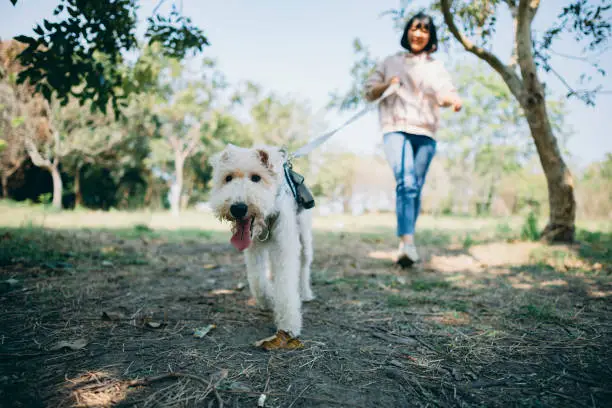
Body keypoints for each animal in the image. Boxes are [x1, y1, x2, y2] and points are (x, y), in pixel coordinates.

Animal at [210, 145, 316, 336]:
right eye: (228, 178)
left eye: (256, 178)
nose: (238, 208)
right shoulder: (254, 249)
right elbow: (258, 280)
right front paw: (268, 300)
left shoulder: (284, 247)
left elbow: (286, 285)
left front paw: (288, 324)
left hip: (304, 240)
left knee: (304, 268)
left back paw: (305, 293)